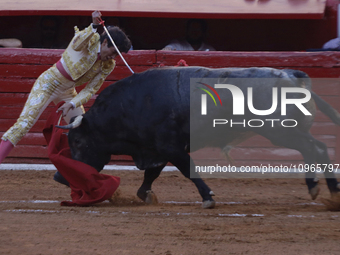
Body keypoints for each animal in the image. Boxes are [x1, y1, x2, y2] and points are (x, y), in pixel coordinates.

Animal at [57, 66, 340, 208]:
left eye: (78, 142)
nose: (59, 177)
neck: (130, 106)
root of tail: (293, 76)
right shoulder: (157, 150)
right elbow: (151, 174)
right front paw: (145, 195)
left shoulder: (170, 146)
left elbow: (188, 169)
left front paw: (208, 197)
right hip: (287, 131)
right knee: (318, 147)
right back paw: (331, 192)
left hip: (279, 130)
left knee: (312, 147)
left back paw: (316, 187)